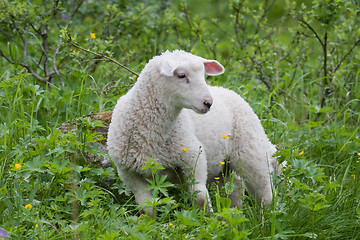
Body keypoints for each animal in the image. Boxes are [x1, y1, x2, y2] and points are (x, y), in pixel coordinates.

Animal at [107, 49, 282, 215]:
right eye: (181, 75)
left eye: (203, 75)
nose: (208, 103)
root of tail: (229, 91)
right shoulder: (129, 173)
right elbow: (147, 207)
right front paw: (147, 223)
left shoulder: (193, 157)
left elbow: (199, 196)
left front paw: (206, 218)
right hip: (223, 166)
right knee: (235, 188)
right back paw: (234, 212)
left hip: (250, 151)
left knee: (266, 190)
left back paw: (268, 216)